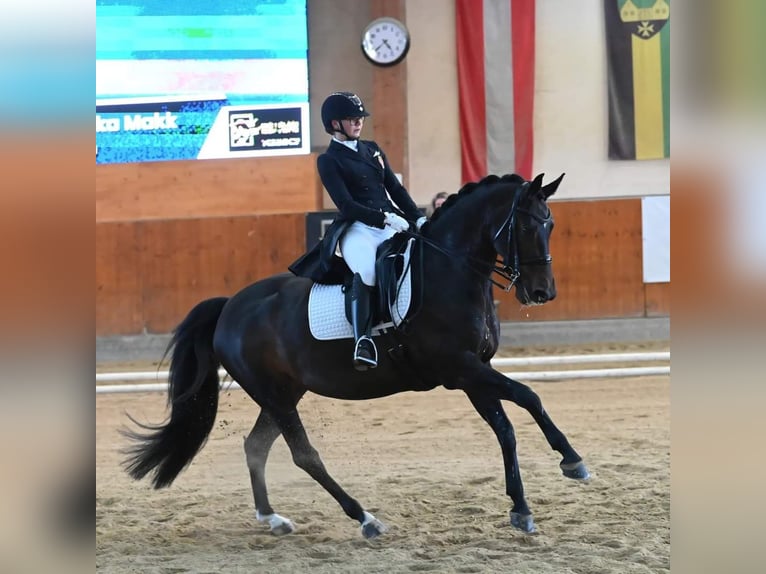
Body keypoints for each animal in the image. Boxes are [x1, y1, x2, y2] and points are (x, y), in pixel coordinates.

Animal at [124, 172, 592, 540]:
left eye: (550, 224)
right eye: (526, 227)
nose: (542, 293)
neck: (452, 271)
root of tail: (229, 307)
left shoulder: (474, 371)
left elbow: (506, 428)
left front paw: (522, 509)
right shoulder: (461, 367)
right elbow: (529, 396)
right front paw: (572, 461)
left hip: (284, 393)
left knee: (256, 446)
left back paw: (272, 518)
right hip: (272, 394)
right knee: (304, 455)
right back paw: (365, 519)